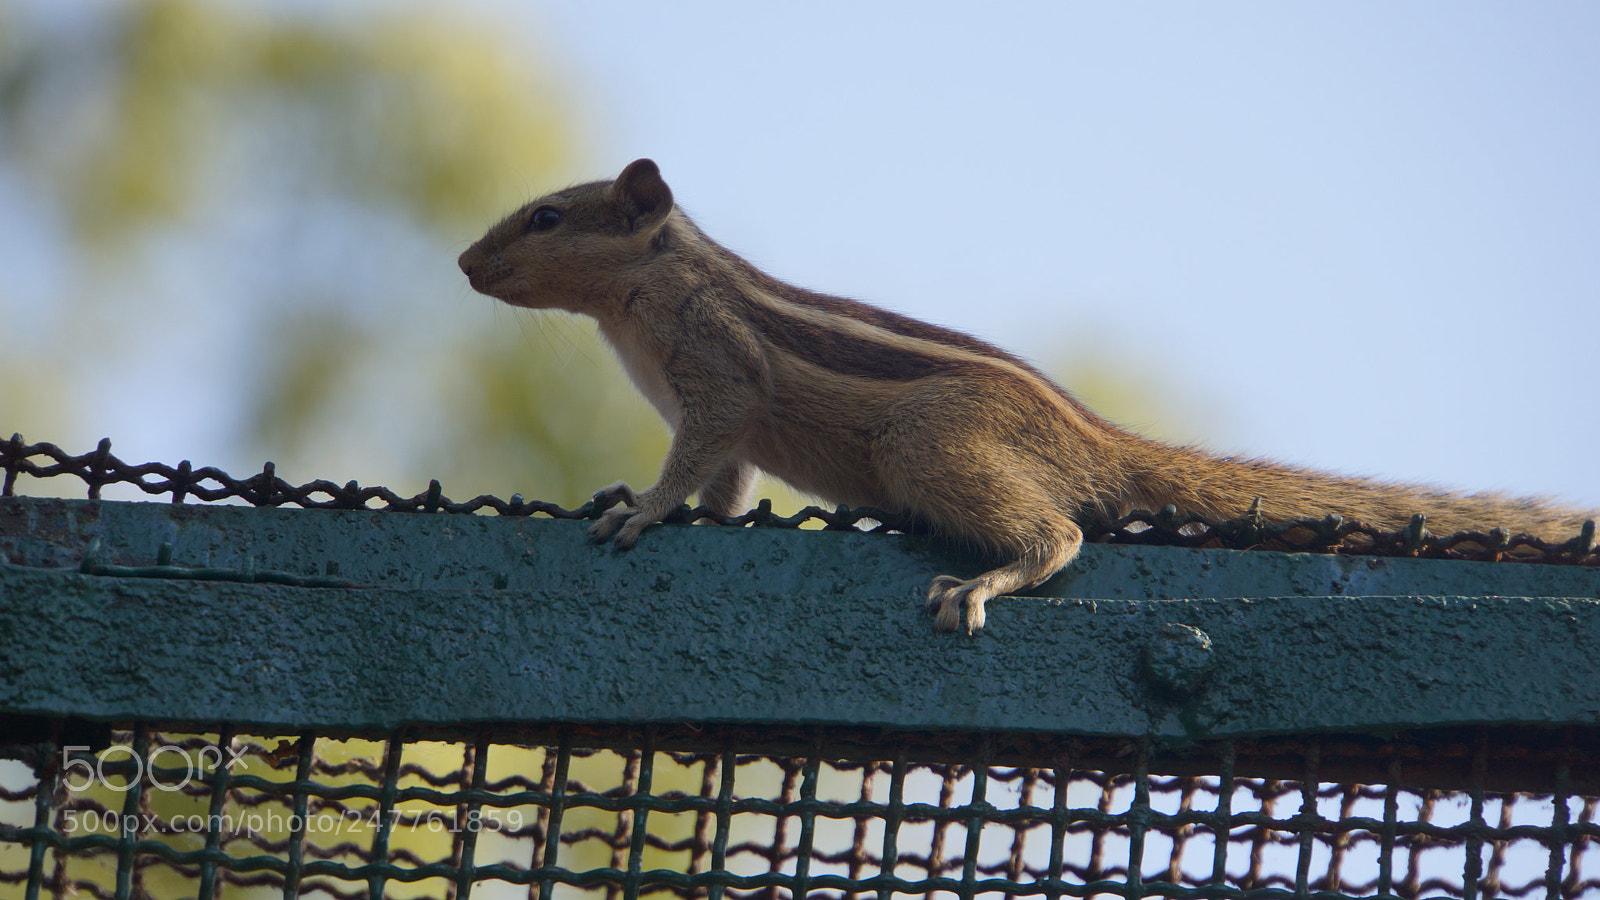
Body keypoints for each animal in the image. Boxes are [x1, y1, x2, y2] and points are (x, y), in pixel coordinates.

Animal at [459, 158, 1597, 634]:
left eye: (550, 219)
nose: (468, 262)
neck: (640, 297)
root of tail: (1096, 442)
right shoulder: (708, 409)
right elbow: (726, 486)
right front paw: (658, 505)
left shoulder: (718, 372)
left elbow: (702, 454)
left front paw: (644, 511)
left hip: (929, 443)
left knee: (1062, 535)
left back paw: (988, 580)